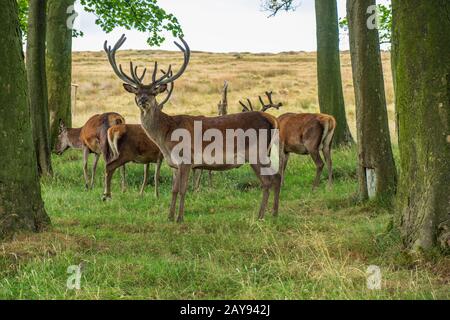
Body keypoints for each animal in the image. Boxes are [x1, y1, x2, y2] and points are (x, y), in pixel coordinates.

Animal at [105, 33, 282, 221]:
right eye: (137, 92)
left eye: (153, 92)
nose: (143, 100)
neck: (165, 135)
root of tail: (272, 119)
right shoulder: (174, 164)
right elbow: (174, 190)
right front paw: (169, 217)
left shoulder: (186, 158)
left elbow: (183, 189)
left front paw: (180, 218)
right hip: (264, 153)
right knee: (277, 177)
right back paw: (274, 214)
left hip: (256, 152)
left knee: (267, 181)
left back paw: (261, 216)